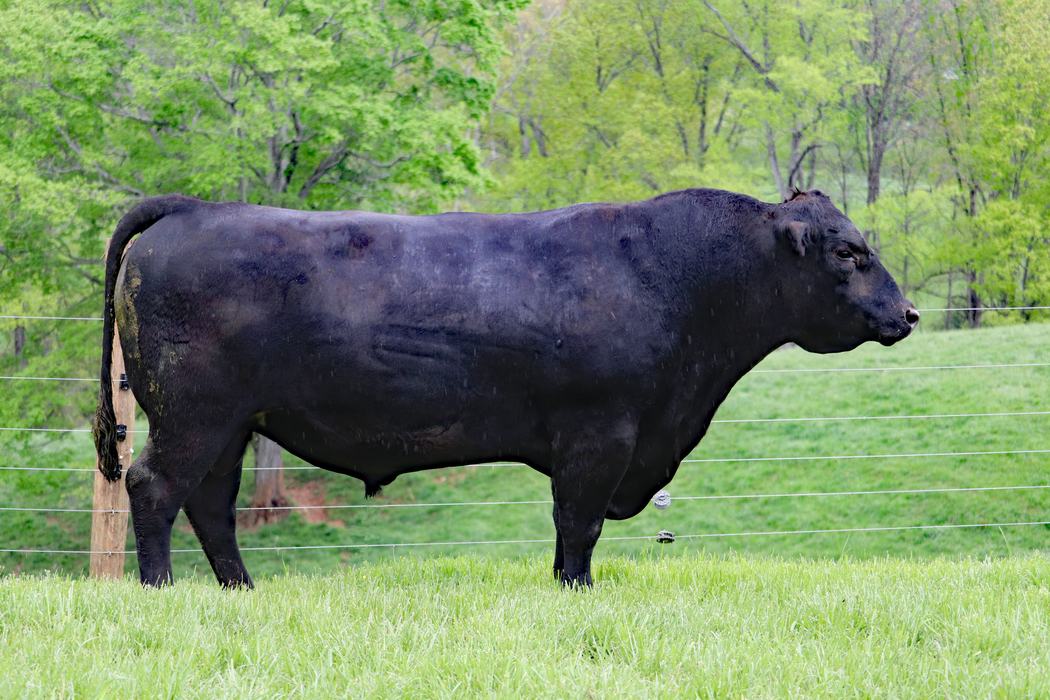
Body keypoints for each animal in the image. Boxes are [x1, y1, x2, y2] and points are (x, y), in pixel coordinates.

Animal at [93, 187, 918, 588]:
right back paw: (160, 588)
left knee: (211, 505)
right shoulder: (600, 432)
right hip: (193, 413)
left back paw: (240, 589)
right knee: (154, 487)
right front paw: (578, 592)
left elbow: (566, 528)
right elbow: (578, 524)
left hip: (231, 423)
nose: (908, 313)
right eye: (849, 252)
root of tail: (196, 207)